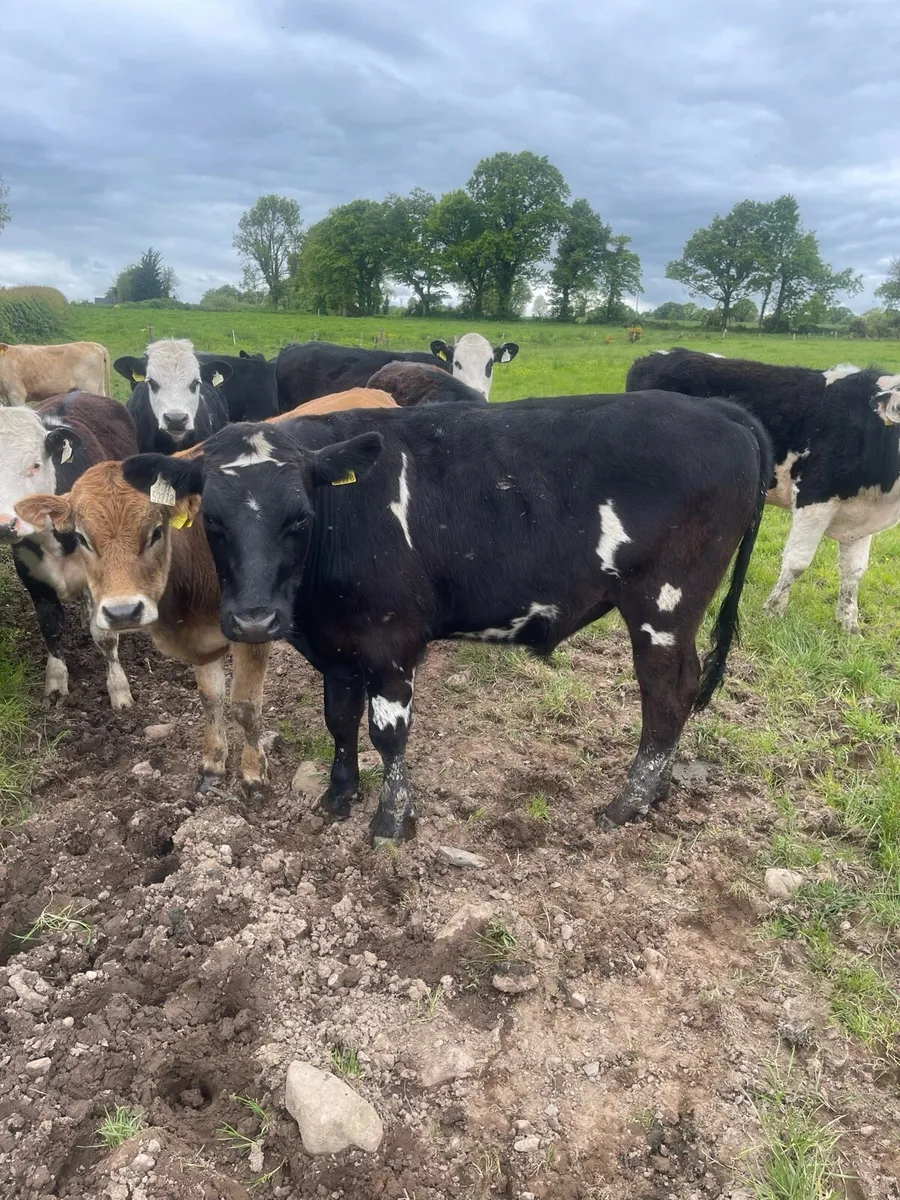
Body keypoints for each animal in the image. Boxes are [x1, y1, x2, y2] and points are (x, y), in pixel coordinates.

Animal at [0, 392, 139, 708]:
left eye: (36, 465)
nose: (4, 524)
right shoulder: (33, 577)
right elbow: (50, 626)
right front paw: (55, 683)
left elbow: (105, 636)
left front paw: (119, 690)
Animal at [16, 387, 401, 790]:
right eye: (82, 538)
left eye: (156, 531)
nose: (123, 612)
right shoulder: (201, 642)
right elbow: (211, 699)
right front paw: (213, 763)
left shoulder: (253, 630)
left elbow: (245, 705)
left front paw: (253, 772)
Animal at [120, 392, 771, 847]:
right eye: (213, 520)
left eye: (299, 517)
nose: (255, 620)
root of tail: (719, 409)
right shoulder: (336, 648)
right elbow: (339, 721)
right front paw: (338, 795)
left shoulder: (390, 642)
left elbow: (388, 735)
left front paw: (391, 822)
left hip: (664, 605)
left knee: (668, 696)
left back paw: (628, 803)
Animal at [626, 348, 900, 632]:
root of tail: (654, 357)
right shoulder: (814, 498)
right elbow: (798, 561)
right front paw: (773, 611)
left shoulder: (861, 515)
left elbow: (854, 571)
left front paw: (849, 623)